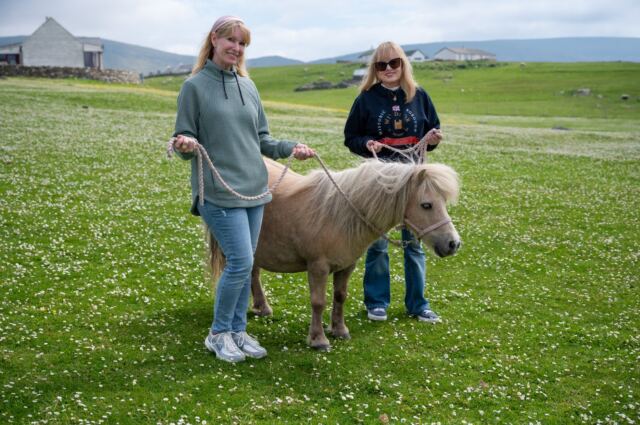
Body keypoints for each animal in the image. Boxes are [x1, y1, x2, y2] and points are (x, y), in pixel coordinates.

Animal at [208, 157, 461, 350]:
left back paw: (262, 307)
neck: (339, 216)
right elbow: (318, 302)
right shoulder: (317, 267)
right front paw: (318, 339)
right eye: (426, 205)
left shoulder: (347, 265)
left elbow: (340, 297)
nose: (453, 243)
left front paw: (339, 330)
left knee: (253, 274)